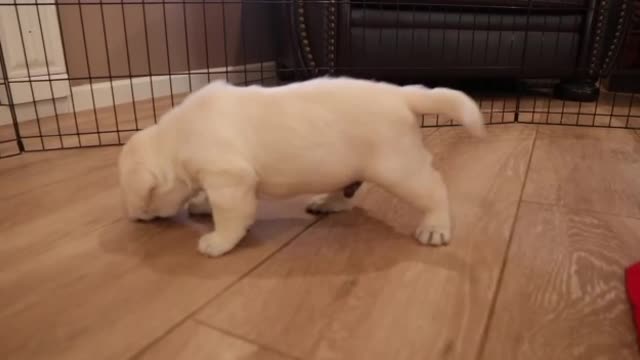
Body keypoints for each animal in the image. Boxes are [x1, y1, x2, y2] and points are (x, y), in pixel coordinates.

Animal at [117, 76, 482, 256]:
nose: (133, 219)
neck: (175, 139)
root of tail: (402, 95)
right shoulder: (222, 180)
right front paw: (200, 204)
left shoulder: (229, 180)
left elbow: (229, 216)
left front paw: (218, 241)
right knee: (347, 191)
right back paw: (327, 202)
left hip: (400, 169)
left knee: (434, 189)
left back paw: (435, 227)